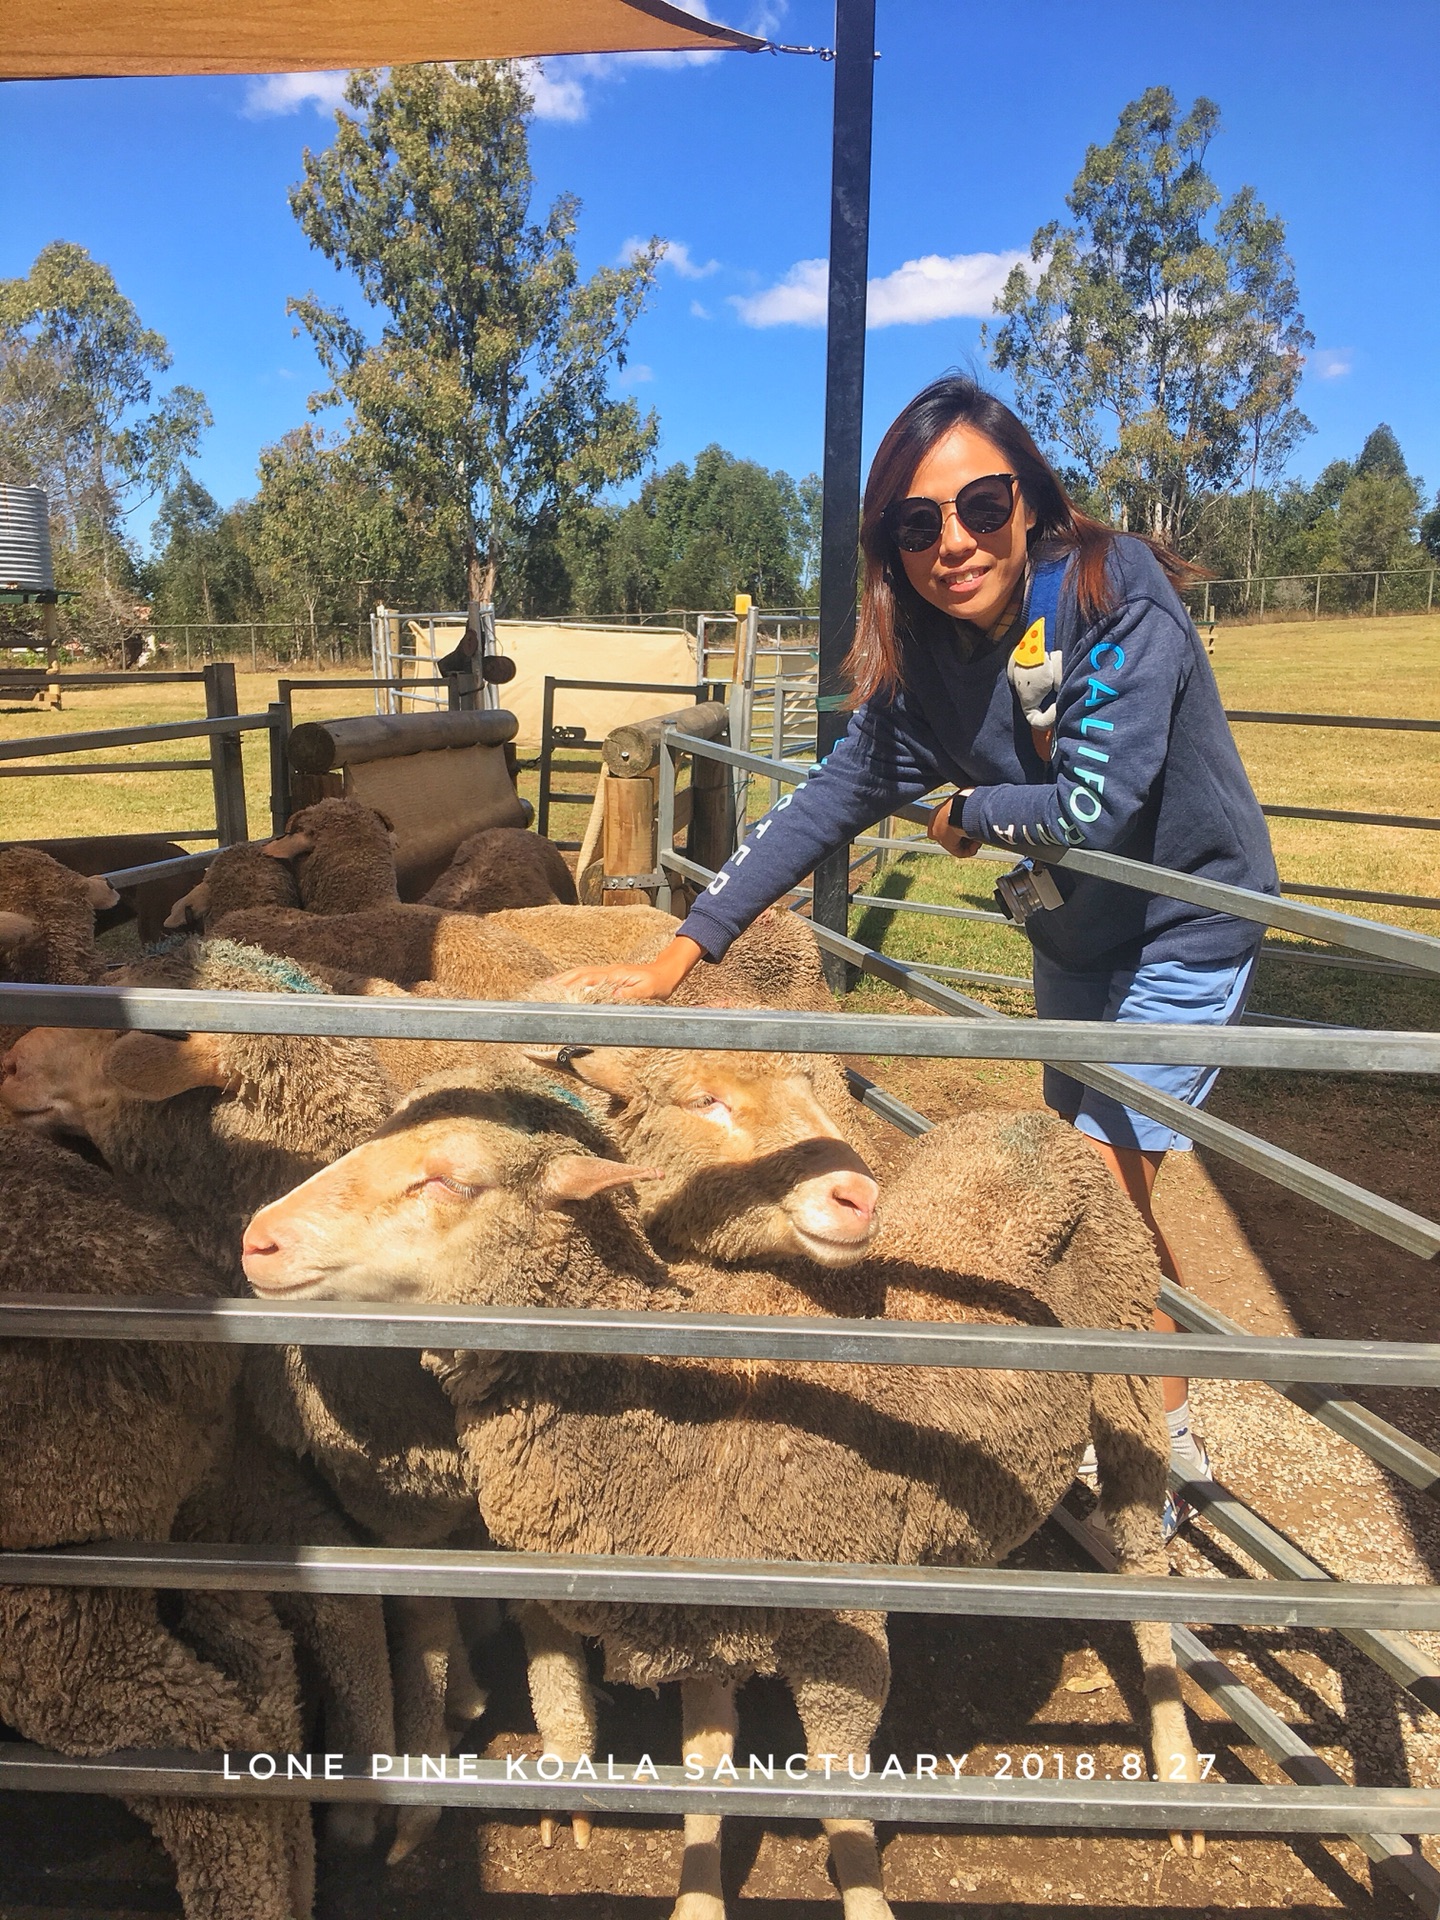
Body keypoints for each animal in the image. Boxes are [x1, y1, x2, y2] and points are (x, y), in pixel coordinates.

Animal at [242, 1075, 1198, 1920]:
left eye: (452, 1180)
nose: (257, 1239)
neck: (680, 1406)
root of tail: (1034, 1120)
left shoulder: (841, 1627)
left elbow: (839, 1800)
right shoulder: (699, 1612)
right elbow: (703, 1771)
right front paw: (697, 1896)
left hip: (1129, 1369)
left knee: (1144, 1558)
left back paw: (1179, 1764)